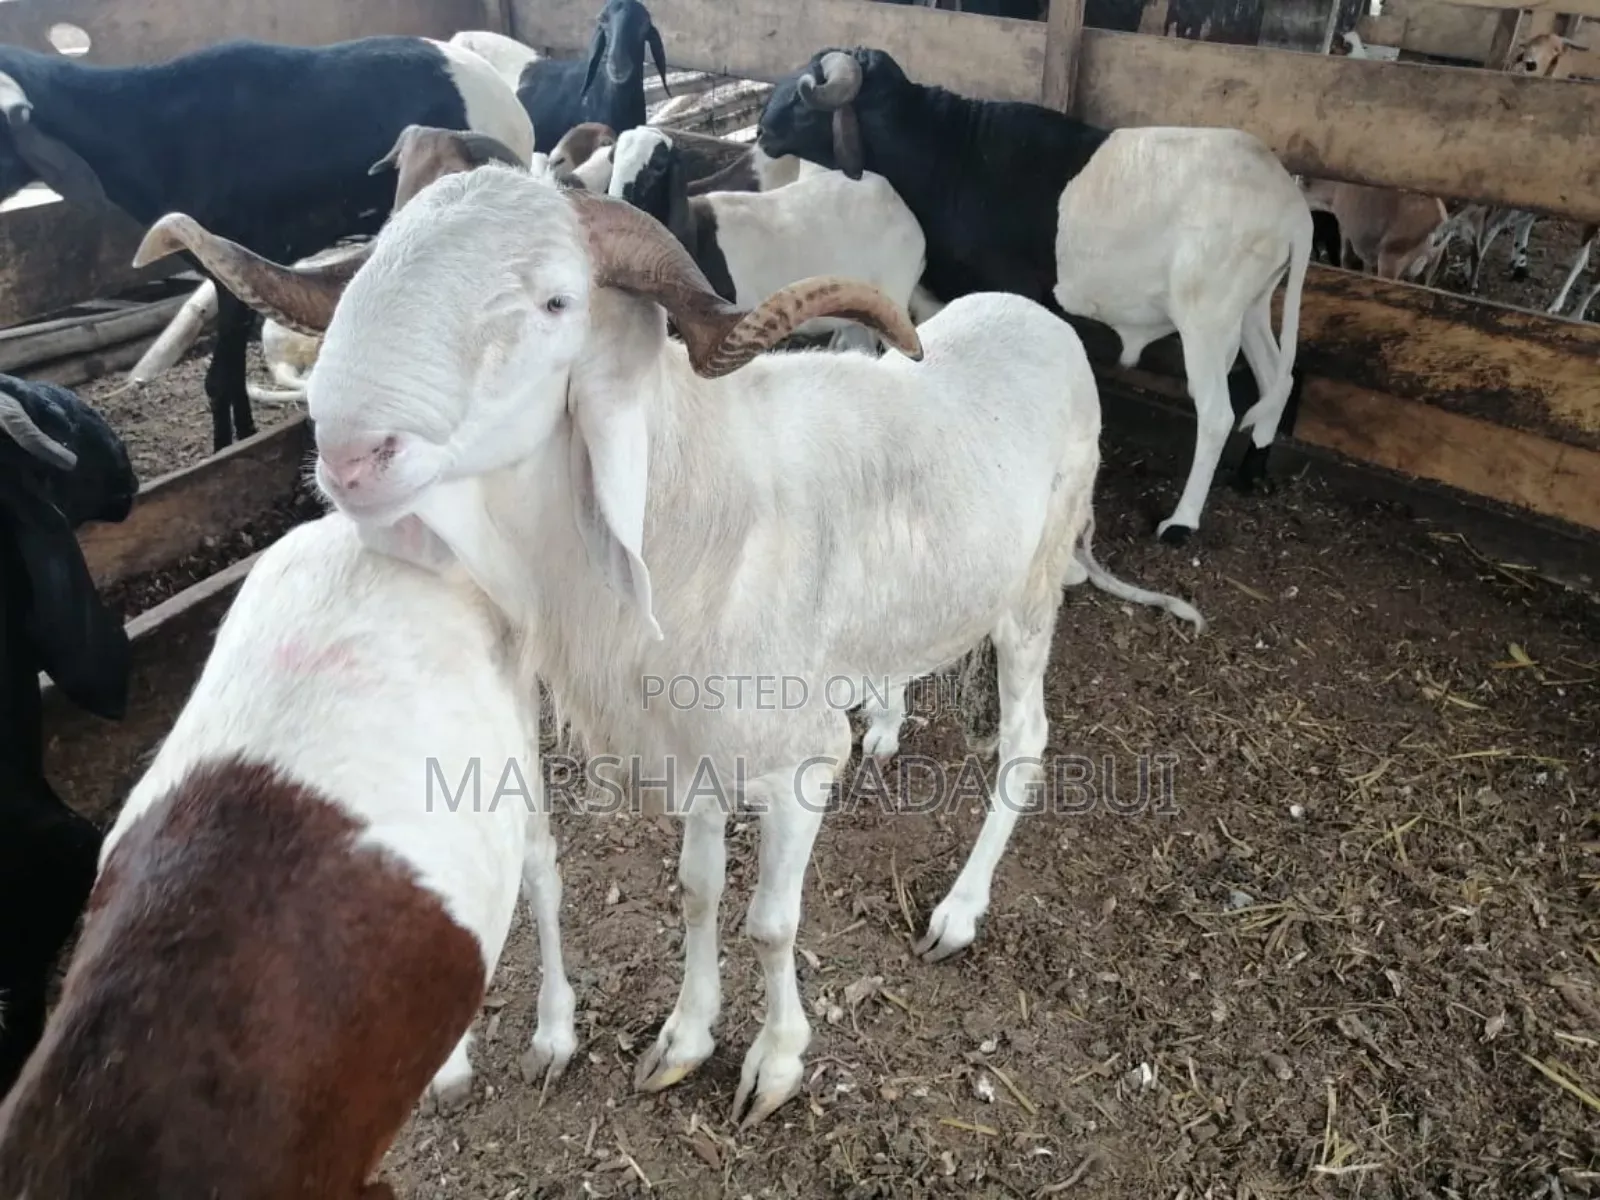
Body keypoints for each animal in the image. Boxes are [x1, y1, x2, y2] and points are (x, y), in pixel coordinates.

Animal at [0, 35, 532, 453]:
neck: (147, 128)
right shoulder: (224, 270)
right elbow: (229, 376)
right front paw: (242, 437)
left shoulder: (237, 256)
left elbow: (219, 380)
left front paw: (226, 448)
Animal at [138, 162, 1207, 1129]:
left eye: (556, 299)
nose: (352, 456)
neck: (693, 502)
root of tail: (1042, 320)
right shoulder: (692, 747)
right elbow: (696, 893)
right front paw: (684, 1042)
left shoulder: (795, 763)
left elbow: (772, 923)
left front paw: (773, 1066)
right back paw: (889, 724)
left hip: (1031, 597)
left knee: (1024, 742)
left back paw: (958, 911)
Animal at [606, 125, 929, 352]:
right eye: (613, 161)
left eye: (658, 165)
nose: (616, 207)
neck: (698, 236)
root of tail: (894, 198)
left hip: (894, 295)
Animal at [755, 47, 1313, 545]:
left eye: (805, 95)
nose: (760, 129)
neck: (946, 154)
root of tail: (1293, 207)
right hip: (1252, 307)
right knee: (1276, 379)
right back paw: (1251, 472)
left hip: (1207, 316)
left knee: (1219, 413)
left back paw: (1181, 524)